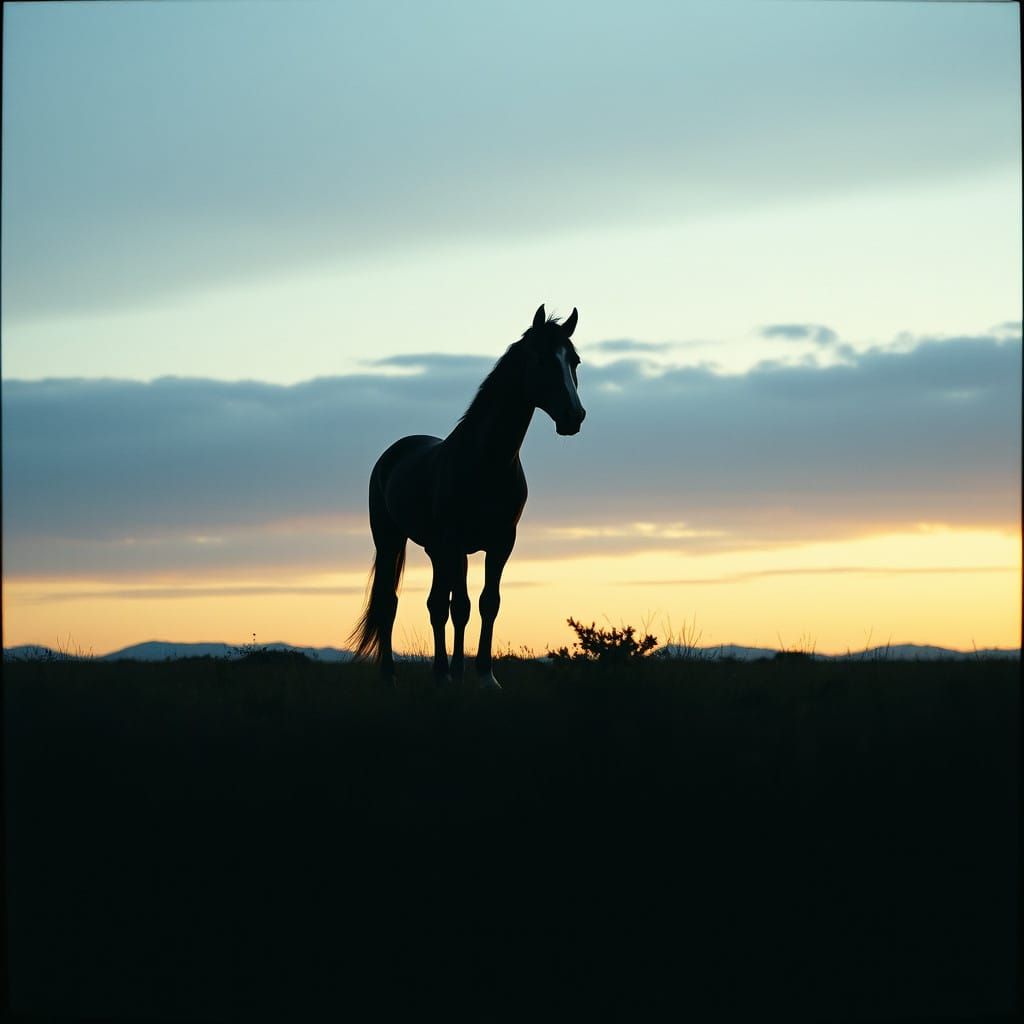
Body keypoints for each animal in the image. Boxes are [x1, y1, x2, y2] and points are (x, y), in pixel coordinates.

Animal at [349, 304, 586, 689]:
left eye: (574, 361)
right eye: (541, 359)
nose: (574, 416)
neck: (486, 461)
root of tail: (392, 454)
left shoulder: (501, 543)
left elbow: (486, 603)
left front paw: (483, 676)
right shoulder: (455, 541)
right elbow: (459, 606)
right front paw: (459, 676)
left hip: (436, 551)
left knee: (437, 604)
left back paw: (445, 671)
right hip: (390, 541)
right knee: (390, 601)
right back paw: (390, 675)